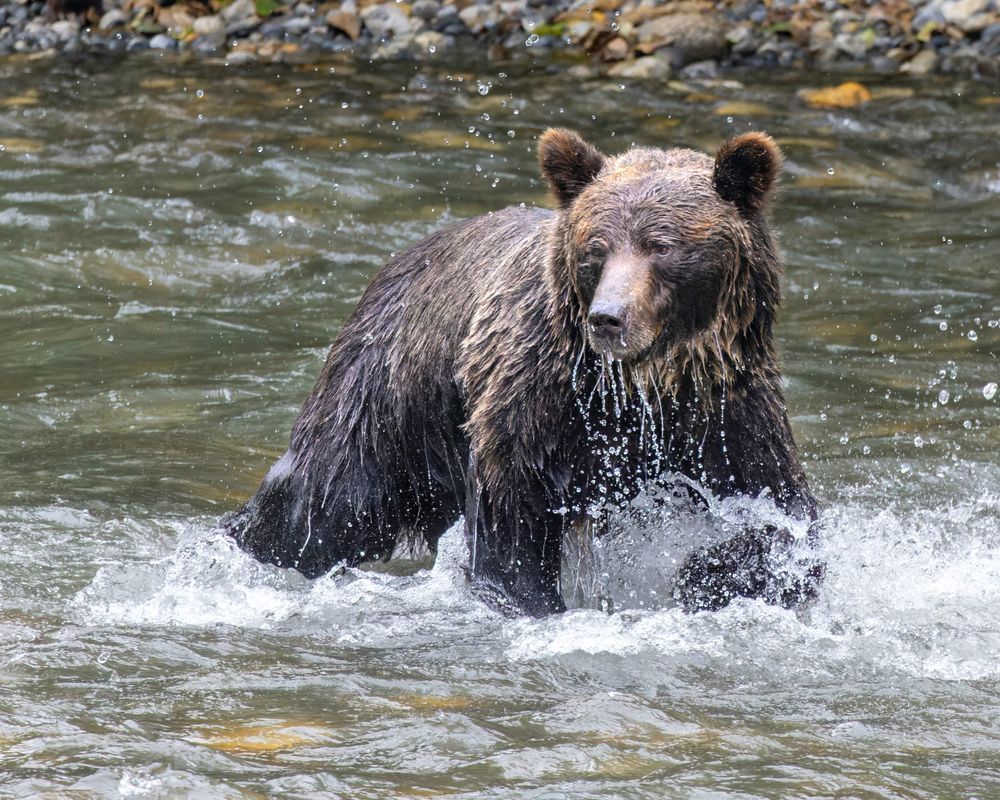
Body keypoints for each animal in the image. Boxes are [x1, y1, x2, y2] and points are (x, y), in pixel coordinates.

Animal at [223, 128, 823, 617]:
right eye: (596, 247)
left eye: (662, 246)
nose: (608, 318)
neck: (643, 386)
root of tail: (400, 259)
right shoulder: (538, 400)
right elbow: (514, 523)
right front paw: (529, 600)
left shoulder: (726, 408)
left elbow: (785, 512)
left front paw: (708, 574)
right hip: (386, 393)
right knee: (324, 499)